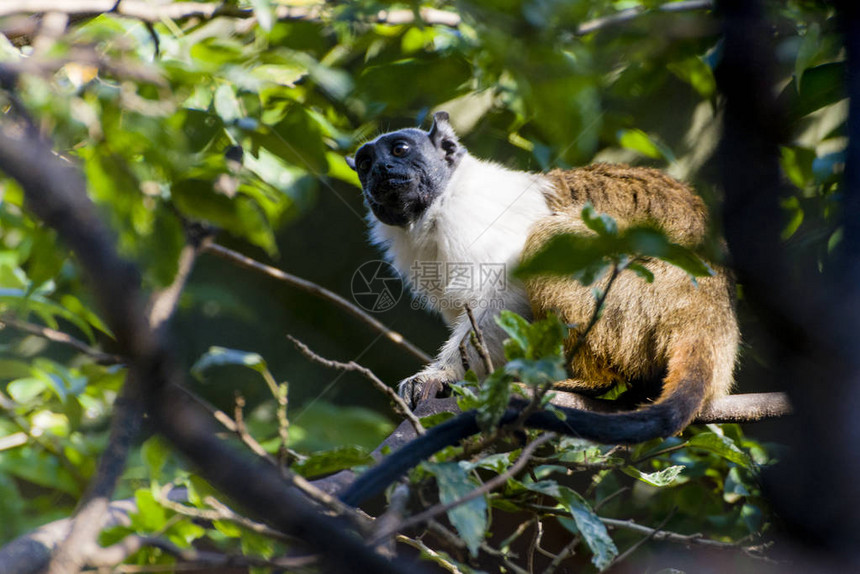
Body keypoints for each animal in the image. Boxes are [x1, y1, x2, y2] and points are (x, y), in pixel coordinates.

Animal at [340, 113, 740, 508]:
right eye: (365, 163)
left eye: (399, 150)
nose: (380, 170)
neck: (439, 206)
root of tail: (706, 313)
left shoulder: (473, 220)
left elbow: (505, 294)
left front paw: (441, 377)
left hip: (641, 295)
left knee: (549, 236)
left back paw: (594, 381)